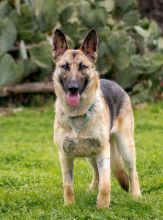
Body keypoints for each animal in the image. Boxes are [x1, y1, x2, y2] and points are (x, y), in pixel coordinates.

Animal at [52, 28, 141, 208]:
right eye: (64, 67)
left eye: (82, 66)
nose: (73, 88)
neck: (78, 114)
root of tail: (114, 82)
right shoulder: (64, 155)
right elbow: (68, 185)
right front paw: (69, 206)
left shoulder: (103, 151)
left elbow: (106, 183)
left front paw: (102, 206)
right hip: (90, 156)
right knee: (96, 173)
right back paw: (92, 189)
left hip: (125, 146)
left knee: (132, 171)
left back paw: (136, 195)